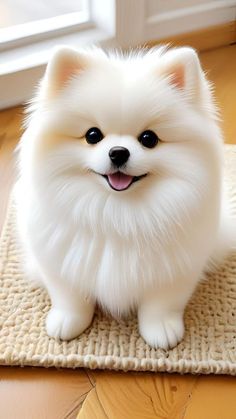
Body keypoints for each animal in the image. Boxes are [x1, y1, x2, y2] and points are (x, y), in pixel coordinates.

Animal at [15, 46, 235, 350]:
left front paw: (161, 330)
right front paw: (67, 322)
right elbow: (70, 297)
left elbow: (162, 303)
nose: (118, 152)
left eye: (149, 138)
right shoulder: (61, 260)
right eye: (92, 135)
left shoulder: (176, 268)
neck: (118, 213)